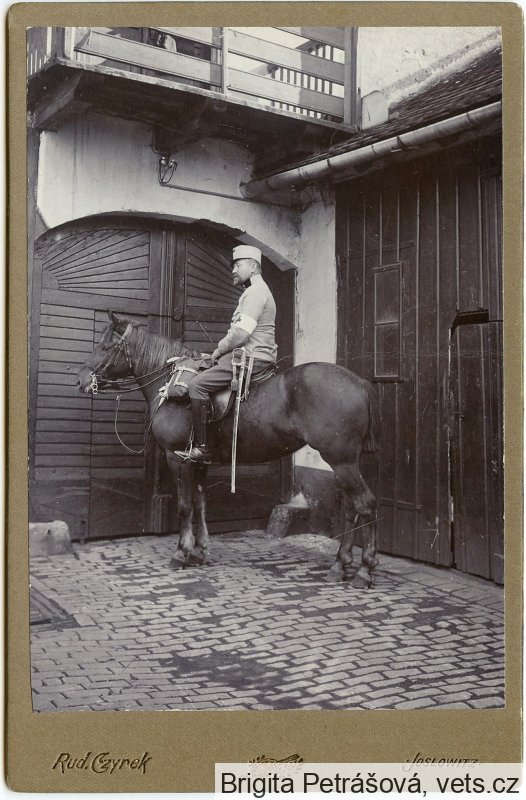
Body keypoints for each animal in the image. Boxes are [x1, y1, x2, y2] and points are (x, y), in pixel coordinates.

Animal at [77, 311, 381, 588]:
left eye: (105, 346)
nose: (81, 380)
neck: (171, 386)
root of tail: (360, 382)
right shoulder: (198, 462)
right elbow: (200, 504)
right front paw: (199, 552)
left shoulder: (177, 459)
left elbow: (184, 506)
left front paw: (181, 553)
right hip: (344, 463)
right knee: (350, 507)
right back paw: (340, 565)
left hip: (341, 461)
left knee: (365, 504)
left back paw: (364, 570)